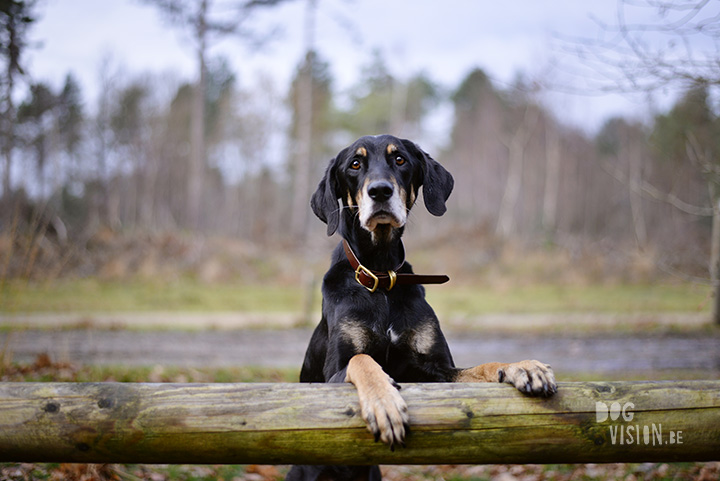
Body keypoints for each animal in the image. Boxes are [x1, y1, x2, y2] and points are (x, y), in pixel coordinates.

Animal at [286, 134, 556, 480]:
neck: (382, 276)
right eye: (355, 164)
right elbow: (362, 360)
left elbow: (480, 368)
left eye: (399, 159)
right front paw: (384, 402)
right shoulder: (331, 375)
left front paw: (521, 366)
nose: (380, 191)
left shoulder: (436, 373)